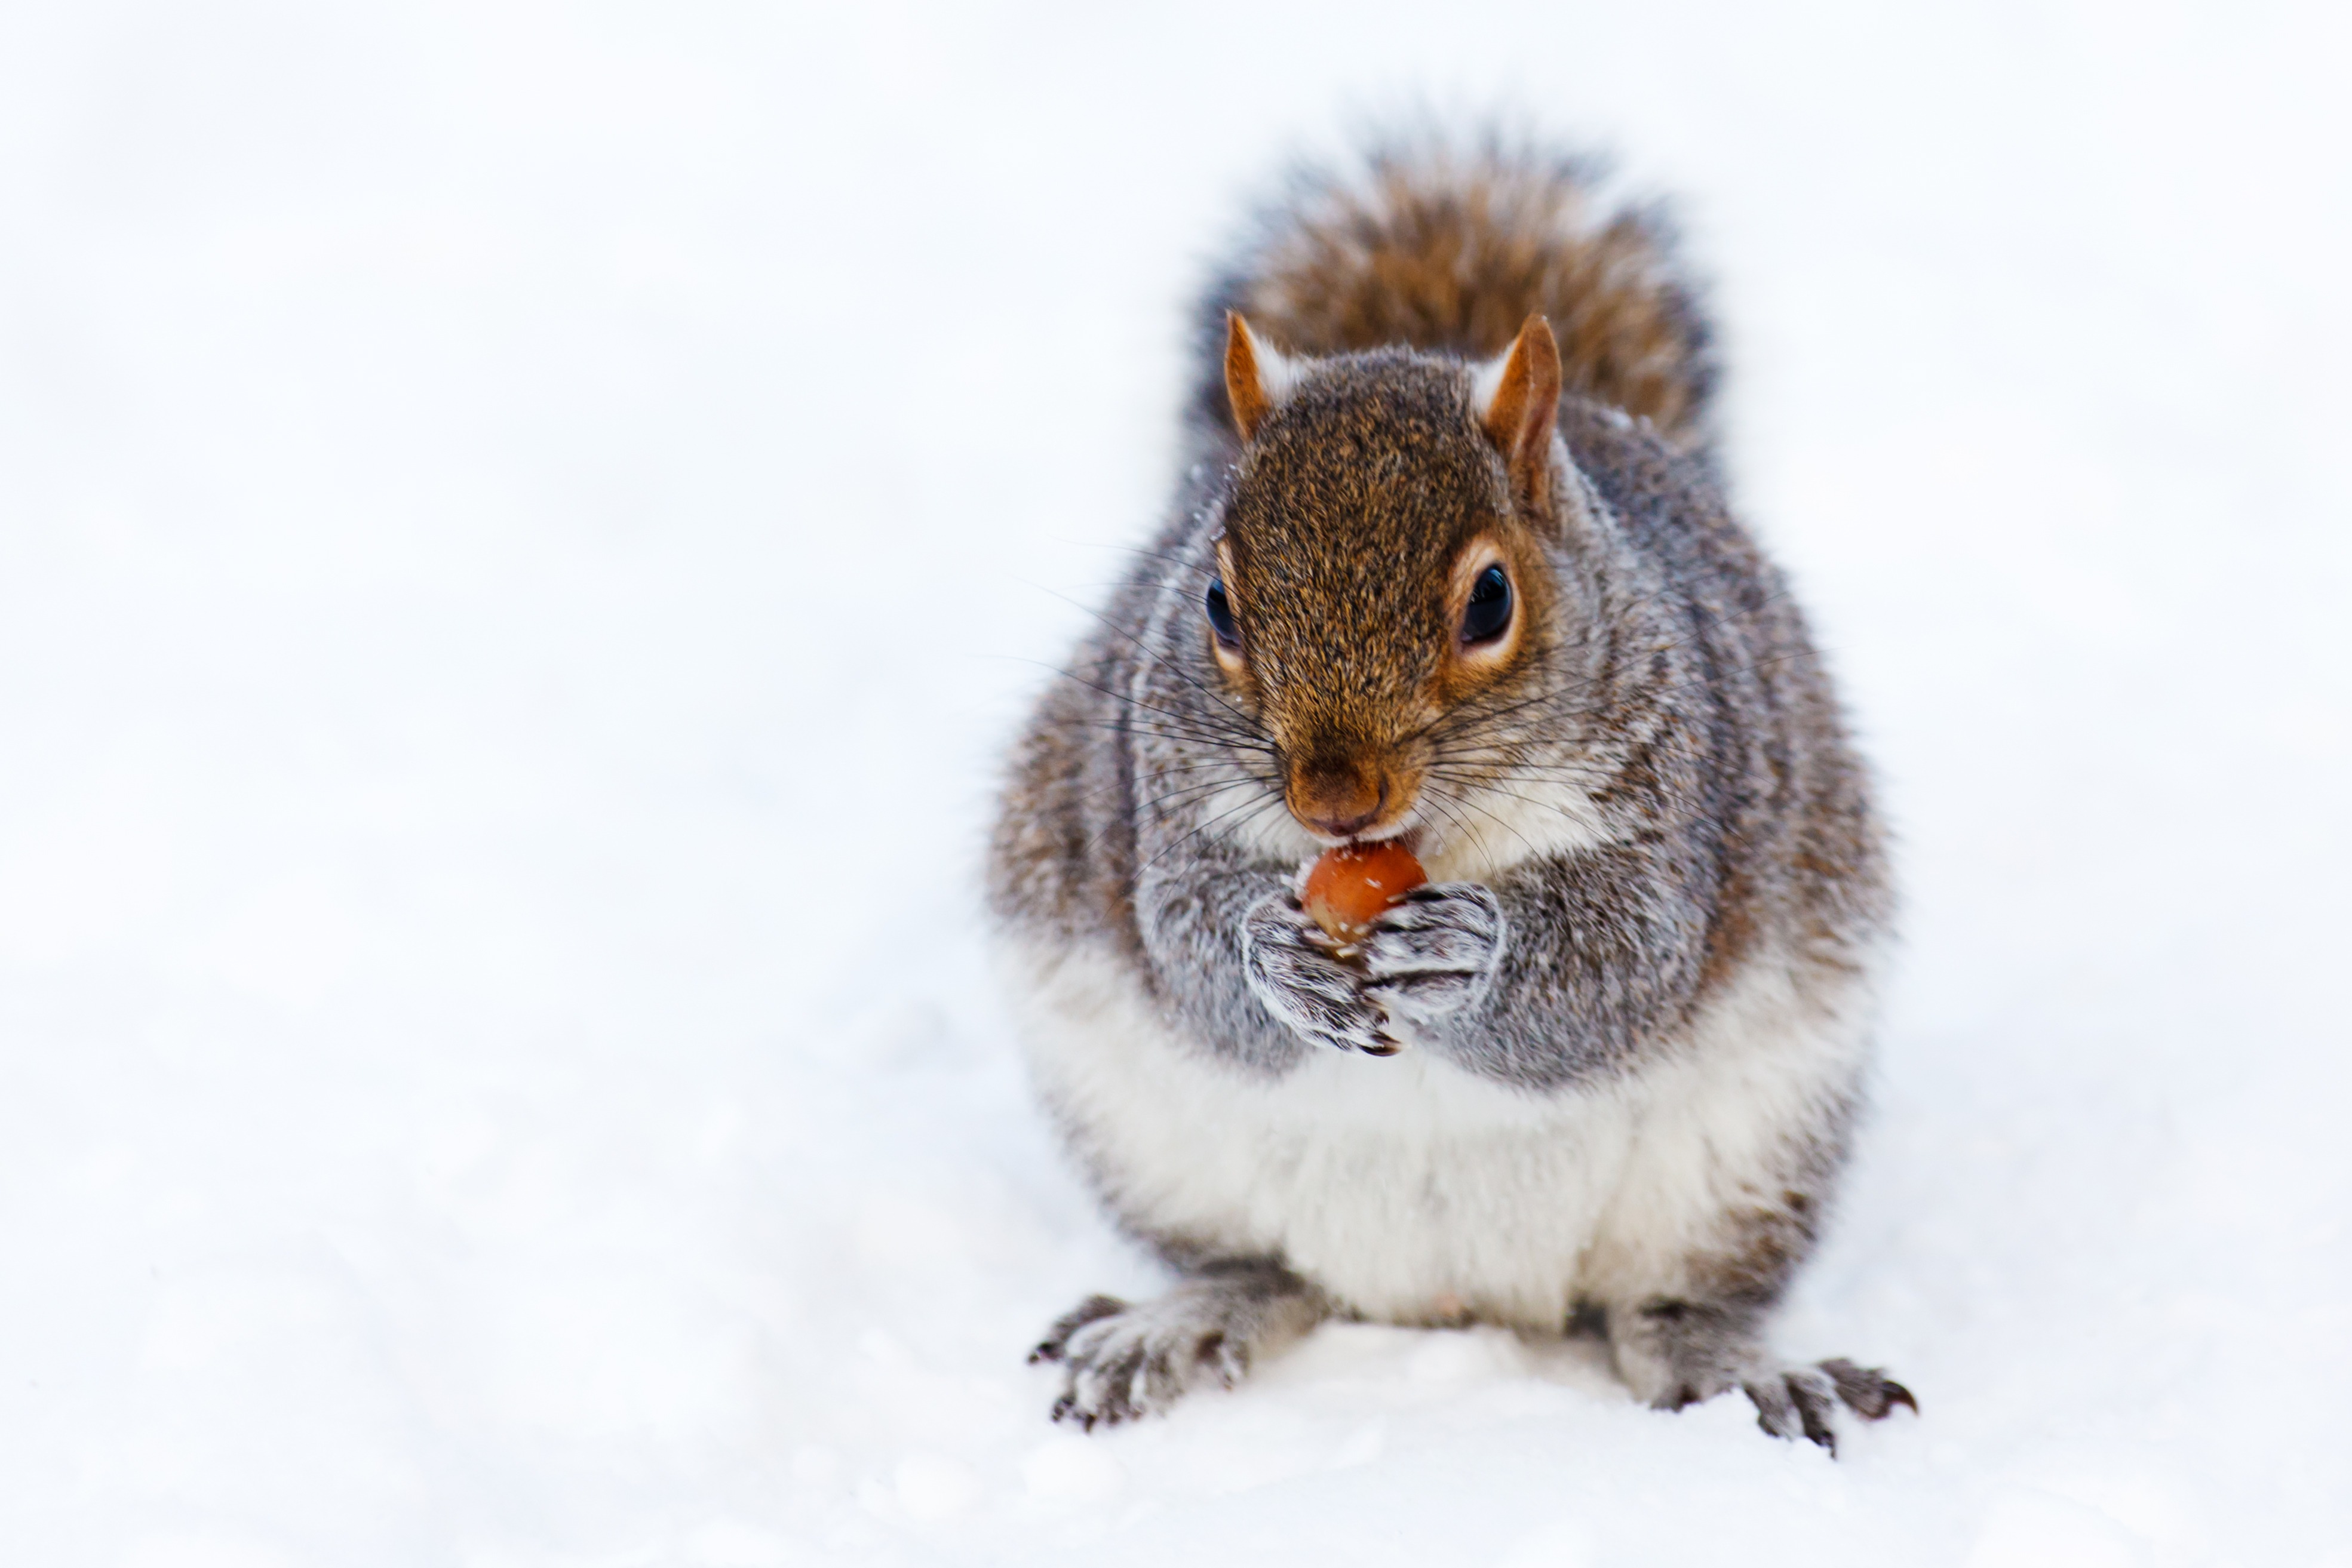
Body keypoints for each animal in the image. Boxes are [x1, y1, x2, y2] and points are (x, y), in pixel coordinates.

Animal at [983, 141, 1919, 1457]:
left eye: (1489, 600)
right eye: (1215, 603)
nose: (1332, 798)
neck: (1423, 841)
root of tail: (1450, 1296)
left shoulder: (1684, 797)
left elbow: (1621, 974)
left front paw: (1468, 956)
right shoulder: (1151, 795)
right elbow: (1186, 951)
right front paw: (1272, 954)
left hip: (1746, 1157)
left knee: (1668, 1305)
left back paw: (1738, 1367)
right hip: (1144, 1137)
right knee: (1260, 1270)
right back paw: (1175, 1321)